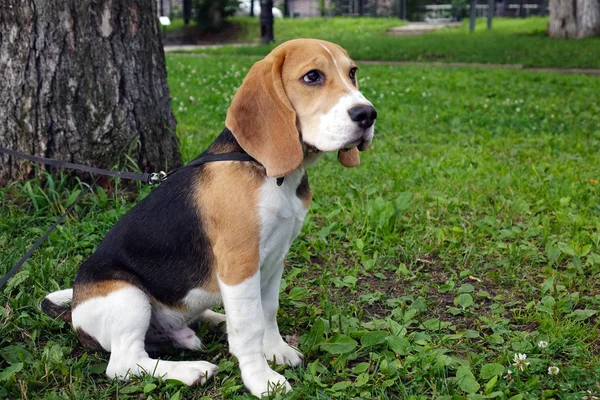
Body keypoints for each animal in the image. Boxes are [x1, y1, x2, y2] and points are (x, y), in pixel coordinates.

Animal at [42, 38, 378, 396]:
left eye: (352, 72)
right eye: (312, 76)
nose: (368, 115)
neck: (269, 172)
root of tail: (75, 312)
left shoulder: (276, 258)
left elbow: (267, 310)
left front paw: (277, 350)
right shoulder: (239, 263)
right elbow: (250, 328)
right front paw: (261, 378)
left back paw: (215, 320)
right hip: (127, 297)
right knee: (124, 364)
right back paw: (191, 370)